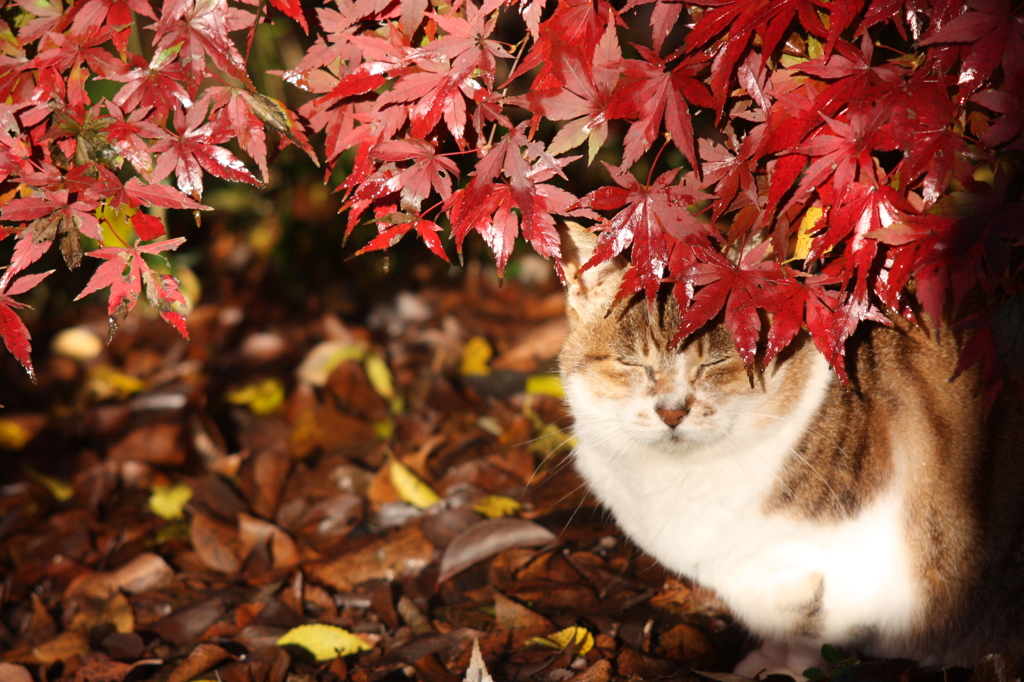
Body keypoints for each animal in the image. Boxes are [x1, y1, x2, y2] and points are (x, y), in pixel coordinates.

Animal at [557, 224, 1024, 675]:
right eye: (632, 364)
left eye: (716, 362)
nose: (672, 412)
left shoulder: (855, 567)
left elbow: (814, 634)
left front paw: (790, 668)